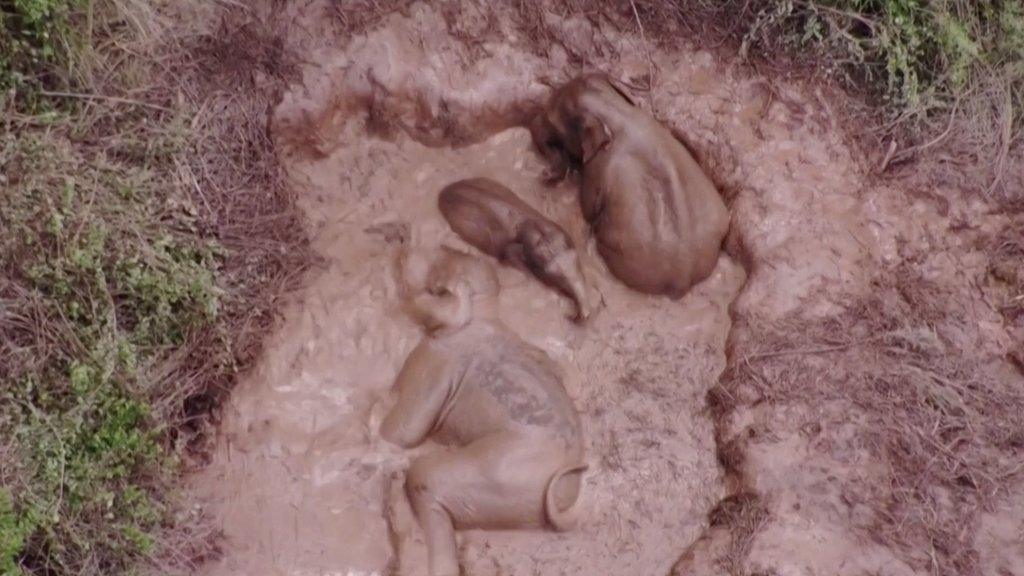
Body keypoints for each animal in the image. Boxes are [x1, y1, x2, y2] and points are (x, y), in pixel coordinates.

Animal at [380, 249, 589, 573]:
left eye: (436, 287)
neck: (483, 316)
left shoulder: (435, 357)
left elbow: (401, 433)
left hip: (503, 475)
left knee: (424, 479)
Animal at [438, 177, 598, 319]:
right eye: (551, 276)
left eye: (578, 261)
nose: (569, 315)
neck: (534, 225)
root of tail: (444, 190)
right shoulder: (508, 249)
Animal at [528, 71, 729, 295]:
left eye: (555, 125)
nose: (545, 174)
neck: (615, 111)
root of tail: (684, 279)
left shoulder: (598, 168)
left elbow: (588, 207)